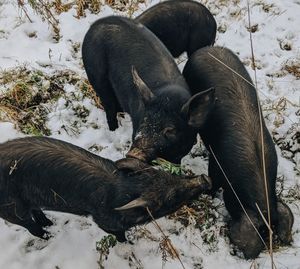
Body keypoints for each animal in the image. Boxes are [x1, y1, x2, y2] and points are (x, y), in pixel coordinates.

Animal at [0, 137, 211, 240]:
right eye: (172, 197)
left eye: (167, 175)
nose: (205, 178)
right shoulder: (104, 221)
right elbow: (119, 234)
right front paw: (129, 243)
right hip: (11, 209)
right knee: (31, 226)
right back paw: (49, 236)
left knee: (36, 211)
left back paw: (50, 223)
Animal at [82, 17, 213, 163]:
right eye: (144, 120)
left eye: (170, 130)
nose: (134, 153)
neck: (169, 96)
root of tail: (96, 23)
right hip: (95, 74)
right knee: (108, 106)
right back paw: (113, 130)